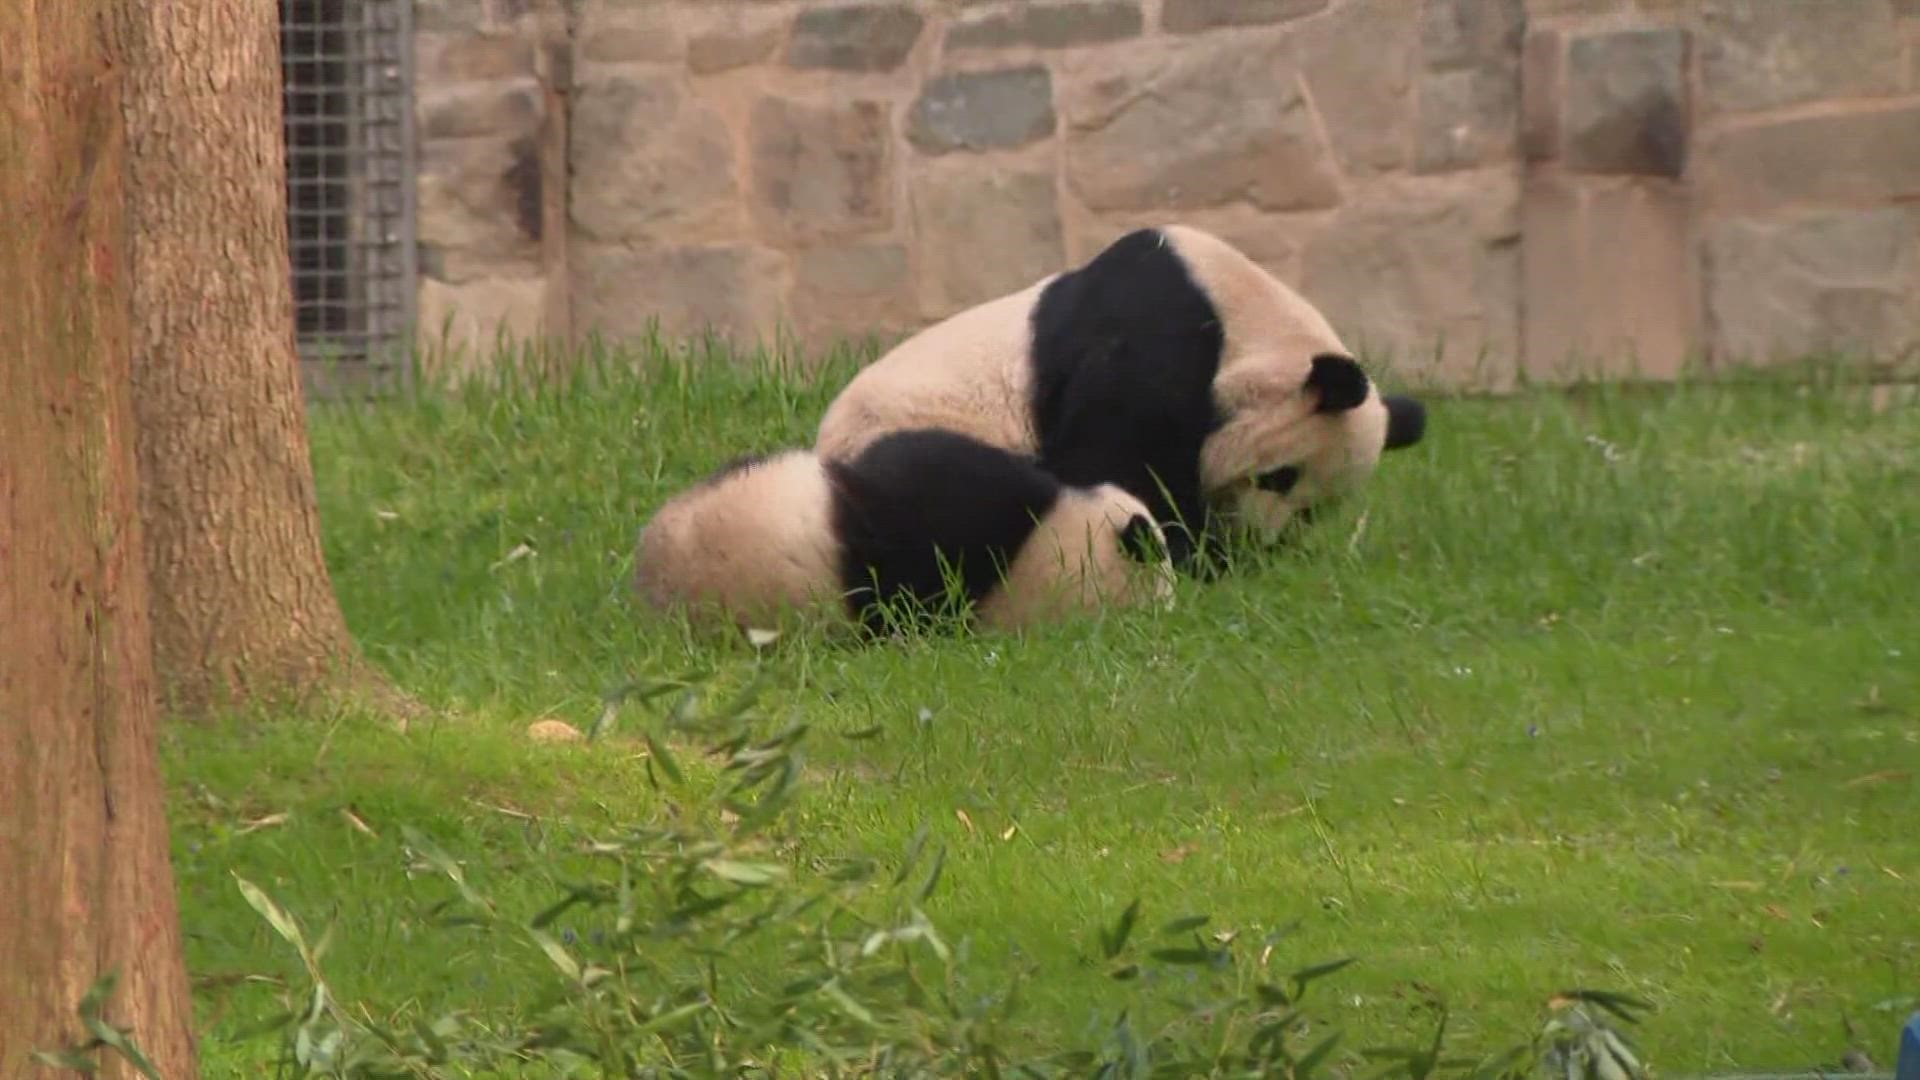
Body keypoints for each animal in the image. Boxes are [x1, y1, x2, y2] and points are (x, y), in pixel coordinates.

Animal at [810, 221, 1428, 568]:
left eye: (1314, 511)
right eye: (1279, 477)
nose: (1258, 538)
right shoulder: (1152, 339)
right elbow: (1117, 456)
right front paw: (1200, 555)